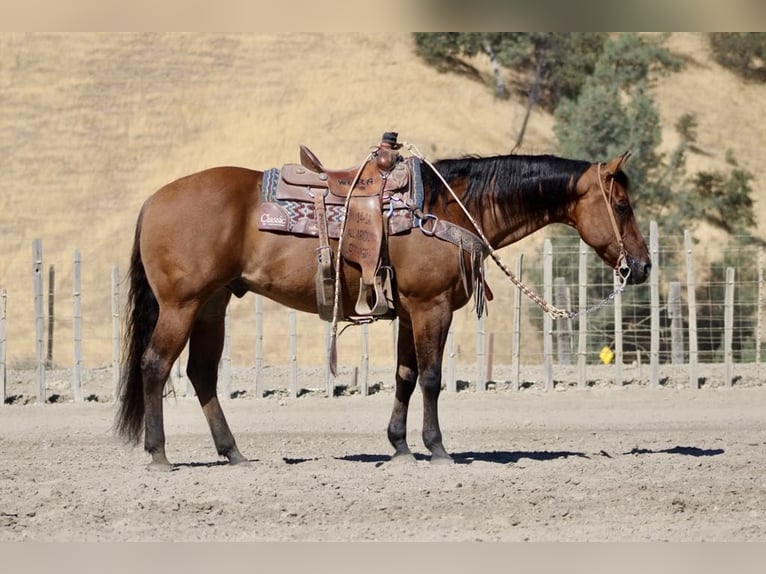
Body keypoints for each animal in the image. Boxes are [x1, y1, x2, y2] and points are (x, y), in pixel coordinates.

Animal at [114, 142, 651, 470]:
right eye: (622, 205)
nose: (643, 266)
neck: (447, 207)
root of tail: (154, 201)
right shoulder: (433, 307)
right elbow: (432, 378)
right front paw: (437, 449)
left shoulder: (411, 312)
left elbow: (405, 377)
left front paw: (399, 447)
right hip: (182, 305)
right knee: (155, 365)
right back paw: (159, 455)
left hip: (212, 304)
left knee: (201, 374)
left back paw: (234, 453)